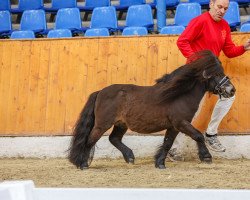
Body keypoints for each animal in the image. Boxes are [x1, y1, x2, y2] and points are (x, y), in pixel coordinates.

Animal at [68, 50, 234, 169]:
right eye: (217, 74)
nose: (232, 90)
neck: (178, 95)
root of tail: (100, 92)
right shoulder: (181, 122)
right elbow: (198, 136)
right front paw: (206, 157)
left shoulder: (173, 126)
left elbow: (167, 143)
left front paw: (160, 163)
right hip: (102, 124)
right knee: (90, 140)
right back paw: (83, 164)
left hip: (121, 124)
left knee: (114, 139)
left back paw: (130, 157)